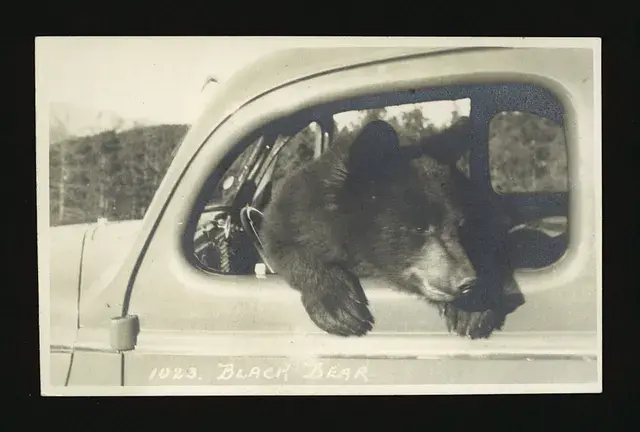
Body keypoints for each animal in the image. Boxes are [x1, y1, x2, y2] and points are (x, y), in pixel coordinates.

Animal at [260, 118, 525, 339]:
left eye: (459, 224)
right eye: (419, 228)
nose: (467, 281)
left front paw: (473, 308)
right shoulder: (295, 214)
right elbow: (285, 246)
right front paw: (338, 306)